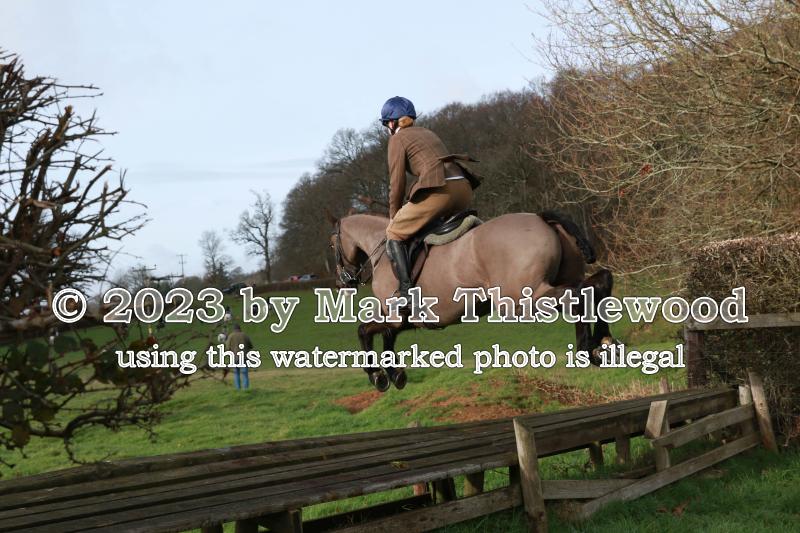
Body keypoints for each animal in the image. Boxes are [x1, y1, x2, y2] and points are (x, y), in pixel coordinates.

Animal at [330, 211, 615, 392]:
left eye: (332, 244)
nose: (343, 282)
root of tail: (541, 218)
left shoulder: (394, 317)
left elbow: (363, 330)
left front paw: (376, 374)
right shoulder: (402, 320)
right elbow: (386, 337)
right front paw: (395, 373)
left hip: (522, 301)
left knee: (580, 295)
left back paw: (587, 349)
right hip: (559, 281)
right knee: (599, 282)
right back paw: (604, 343)